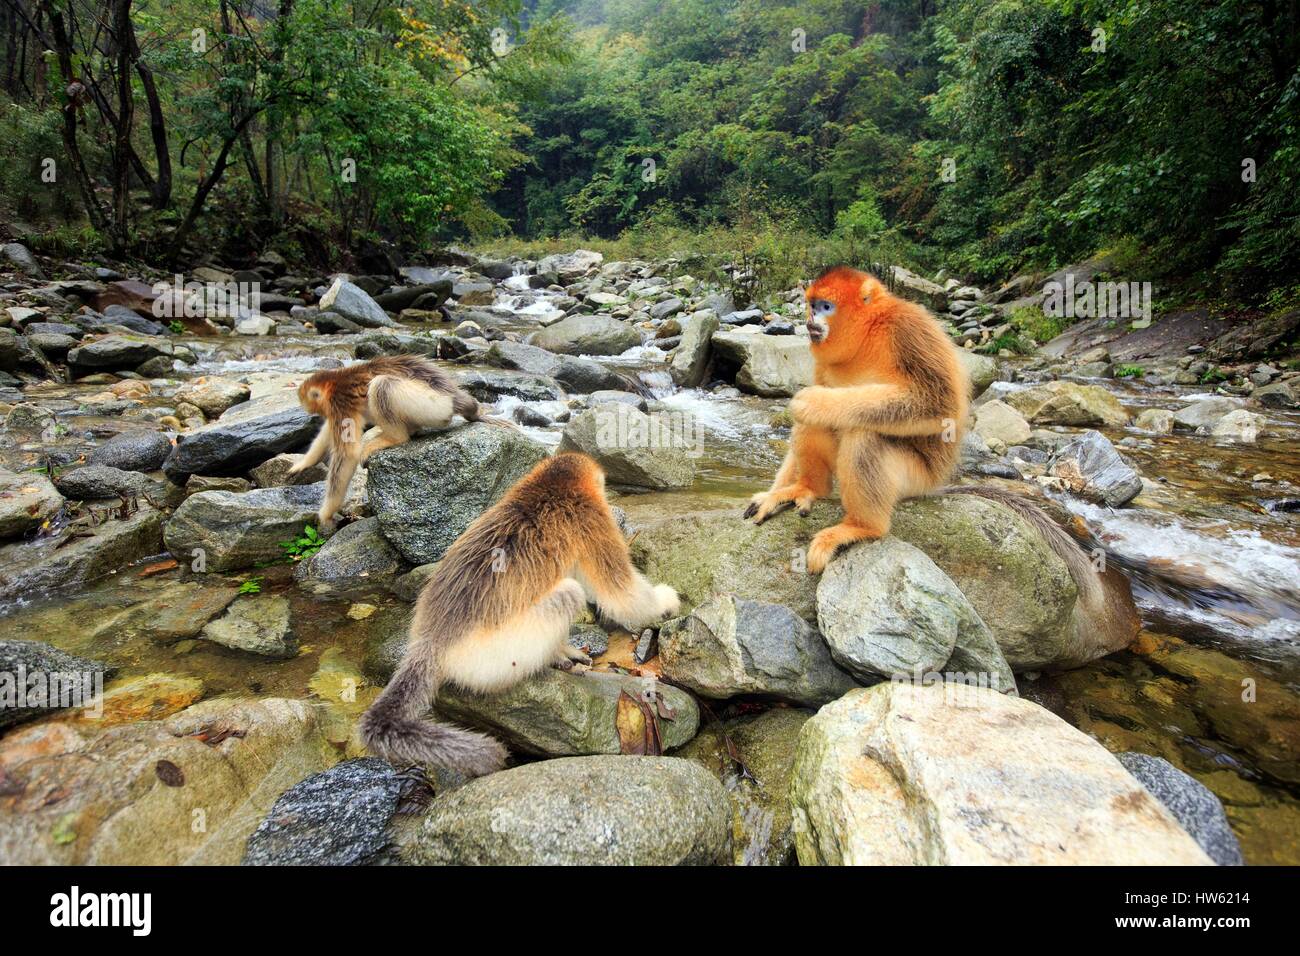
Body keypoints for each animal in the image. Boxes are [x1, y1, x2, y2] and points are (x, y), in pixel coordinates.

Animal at [289, 354, 505, 530]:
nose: (314, 413)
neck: (334, 381)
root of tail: (454, 396)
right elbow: (327, 433)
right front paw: (304, 463)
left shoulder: (339, 402)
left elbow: (347, 454)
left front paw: (325, 514)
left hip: (434, 405)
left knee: (382, 384)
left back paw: (393, 437)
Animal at [359, 452, 681, 777]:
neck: (549, 488)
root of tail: (432, 643)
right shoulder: (592, 517)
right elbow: (621, 595)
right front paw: (666, 602)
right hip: (497, 656)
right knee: (569, 593)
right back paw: (556, 656)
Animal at [744, 265, 969, 573]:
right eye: (811, 306)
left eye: (826, 307)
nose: (810, 320)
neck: (867, 333)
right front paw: (771, 493)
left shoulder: (907, 329)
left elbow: (937, 407)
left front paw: (815, 402)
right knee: (815, 425)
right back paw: (807, 488)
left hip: (916, 480)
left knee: (864, 434)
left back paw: (863, 527)